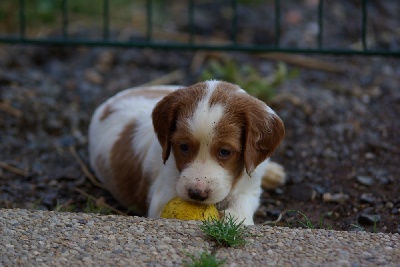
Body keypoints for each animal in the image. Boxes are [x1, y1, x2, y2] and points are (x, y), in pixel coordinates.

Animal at [89, 80, 286, 226]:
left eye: (225, 151)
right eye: (183, 147)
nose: (197, 194)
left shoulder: (250, 185)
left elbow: (242, 204)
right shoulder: (163, 194)